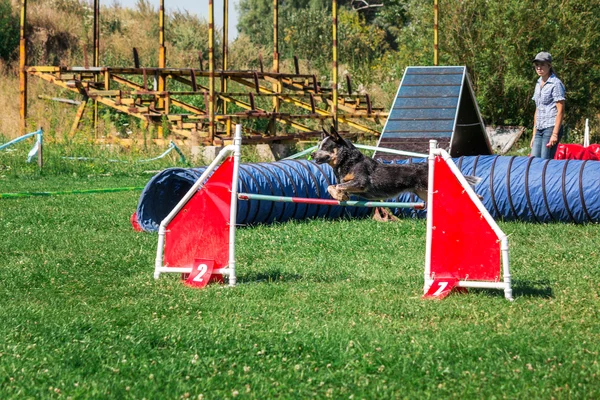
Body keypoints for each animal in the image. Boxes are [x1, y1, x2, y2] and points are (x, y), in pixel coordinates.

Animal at [312, 127, 480, 203]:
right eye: (318, 145)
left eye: (325, 146)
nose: (312, 154)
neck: (348, 161)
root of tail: (428, 166)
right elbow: (332, 186)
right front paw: (341, 195)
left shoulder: (361, 182)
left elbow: (338, 186)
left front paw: (339, 194)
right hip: (424, 194)